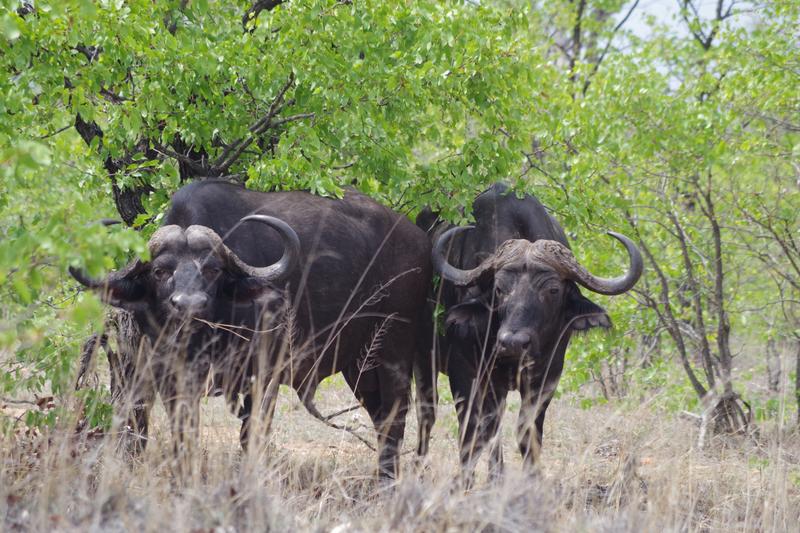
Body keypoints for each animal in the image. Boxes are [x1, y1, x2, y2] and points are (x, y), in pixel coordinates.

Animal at [71, 180, 432, 478]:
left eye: (213, 270)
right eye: (160, 271)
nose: (190, 305)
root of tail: (418, 240)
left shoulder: (264, 374)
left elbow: (251, 434)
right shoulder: (170, 376)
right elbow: (184, 431)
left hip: (394, 349)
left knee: (397, 417)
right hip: (359, 366)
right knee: (381, 416)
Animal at [413, 183, 642, 479]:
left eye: (553, 290)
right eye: (499, 289)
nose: (512, 342)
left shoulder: (547, 374)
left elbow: (526, 431)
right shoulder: (464, 370)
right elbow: (471, 431)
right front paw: (464, 482)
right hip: (423, 359)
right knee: (427, 413)